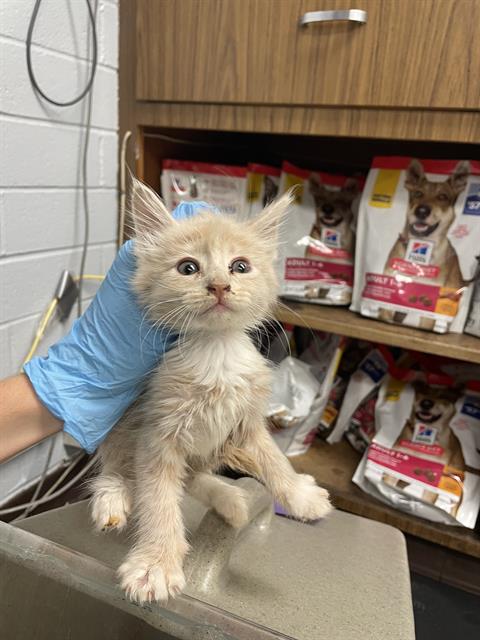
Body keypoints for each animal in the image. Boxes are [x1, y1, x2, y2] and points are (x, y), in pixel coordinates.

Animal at [90, 178, 332, 604]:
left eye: (240, 266)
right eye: (188, 267)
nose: (220, 285)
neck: (216, 353)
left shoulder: (247, 421)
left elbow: (273, 459)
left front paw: (300, 496)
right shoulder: (156, 433)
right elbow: (159, 500)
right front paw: (156, 563)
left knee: (193, 476)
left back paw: (230, 499)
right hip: (119, 427)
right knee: (122, 469)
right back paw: (112, 495)